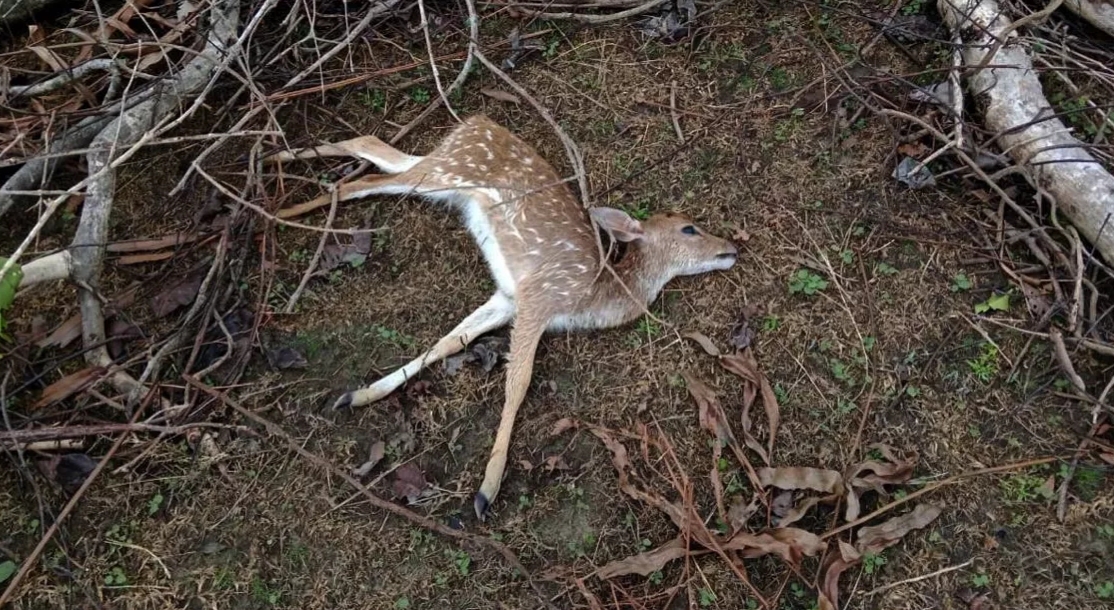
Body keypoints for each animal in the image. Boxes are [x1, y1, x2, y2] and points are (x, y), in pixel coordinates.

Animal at [269, 115, 739, 520]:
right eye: (689, 229)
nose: (731, 248)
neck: (600, 293)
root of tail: (479, 121)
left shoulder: (508, 298)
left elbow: (449, 341)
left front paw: (360, 395)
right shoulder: (539, 297)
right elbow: (519, 381)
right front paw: (485, 491)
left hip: (443, 169)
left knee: (374, 149)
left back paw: (279, 163)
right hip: (448, 174)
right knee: (366, 179)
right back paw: (286, 208)